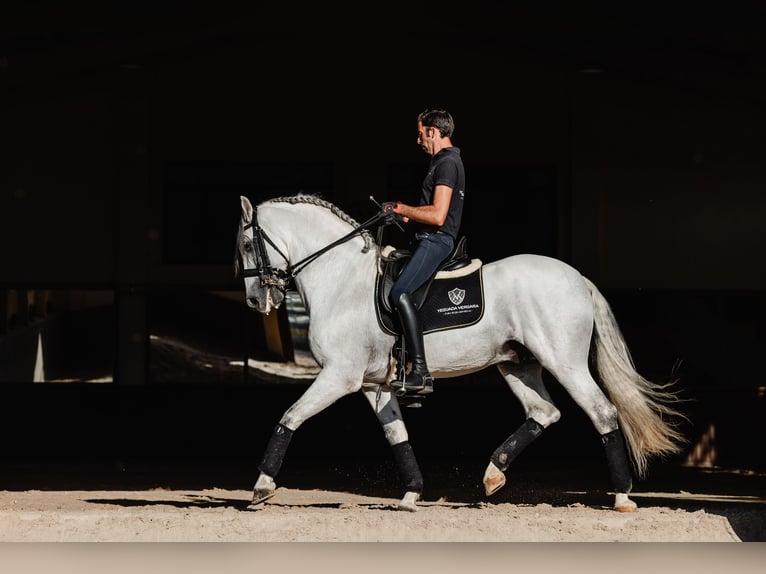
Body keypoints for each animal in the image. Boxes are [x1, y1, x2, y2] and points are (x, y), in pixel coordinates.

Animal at [236, 194, 688, 512]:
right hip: (517, 366)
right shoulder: (372, 385)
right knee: (544, 412)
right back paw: (492, 475)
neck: (341, 279)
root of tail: (577, 276)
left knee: (603, 413)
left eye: (245, 244)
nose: (256, 300)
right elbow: (397, 437)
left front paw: (262, 486)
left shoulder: (338, 376)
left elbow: (290, 416)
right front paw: (412, 494)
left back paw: (622, 497)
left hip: (565, 363)